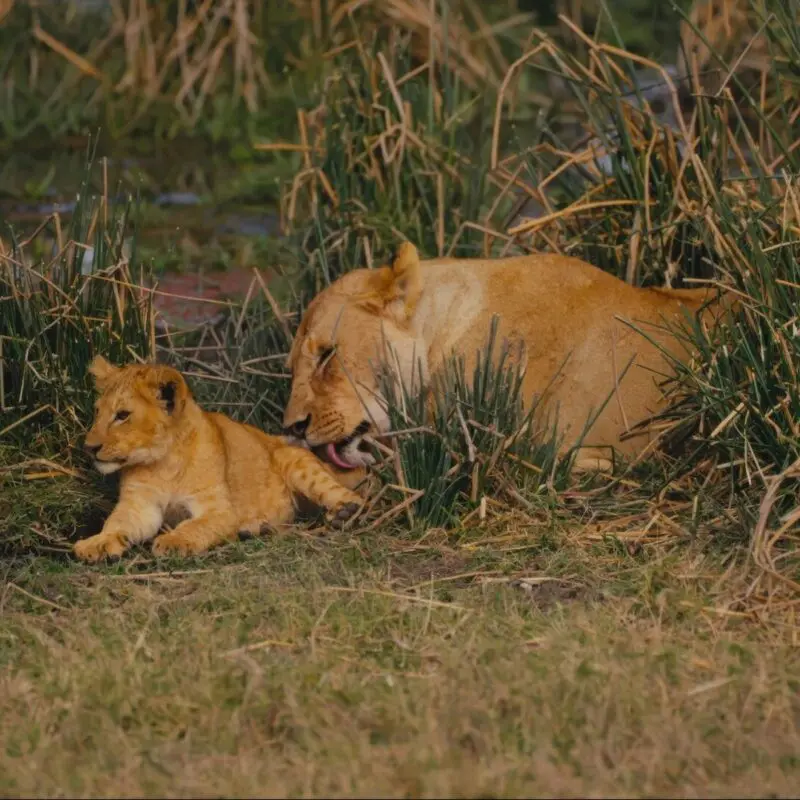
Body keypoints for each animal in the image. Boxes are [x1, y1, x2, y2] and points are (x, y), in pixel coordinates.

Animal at [73, 356, 364, 562]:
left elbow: (195, 525)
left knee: (352, 496)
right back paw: (256, 529)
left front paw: (173, 542)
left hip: (297, 462)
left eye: (122, 415)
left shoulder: (219, 509)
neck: (163, 463)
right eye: (97, 412)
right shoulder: (140, 506)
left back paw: (344, 514)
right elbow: (116, 523)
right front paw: (97, 543)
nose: (89, 447)